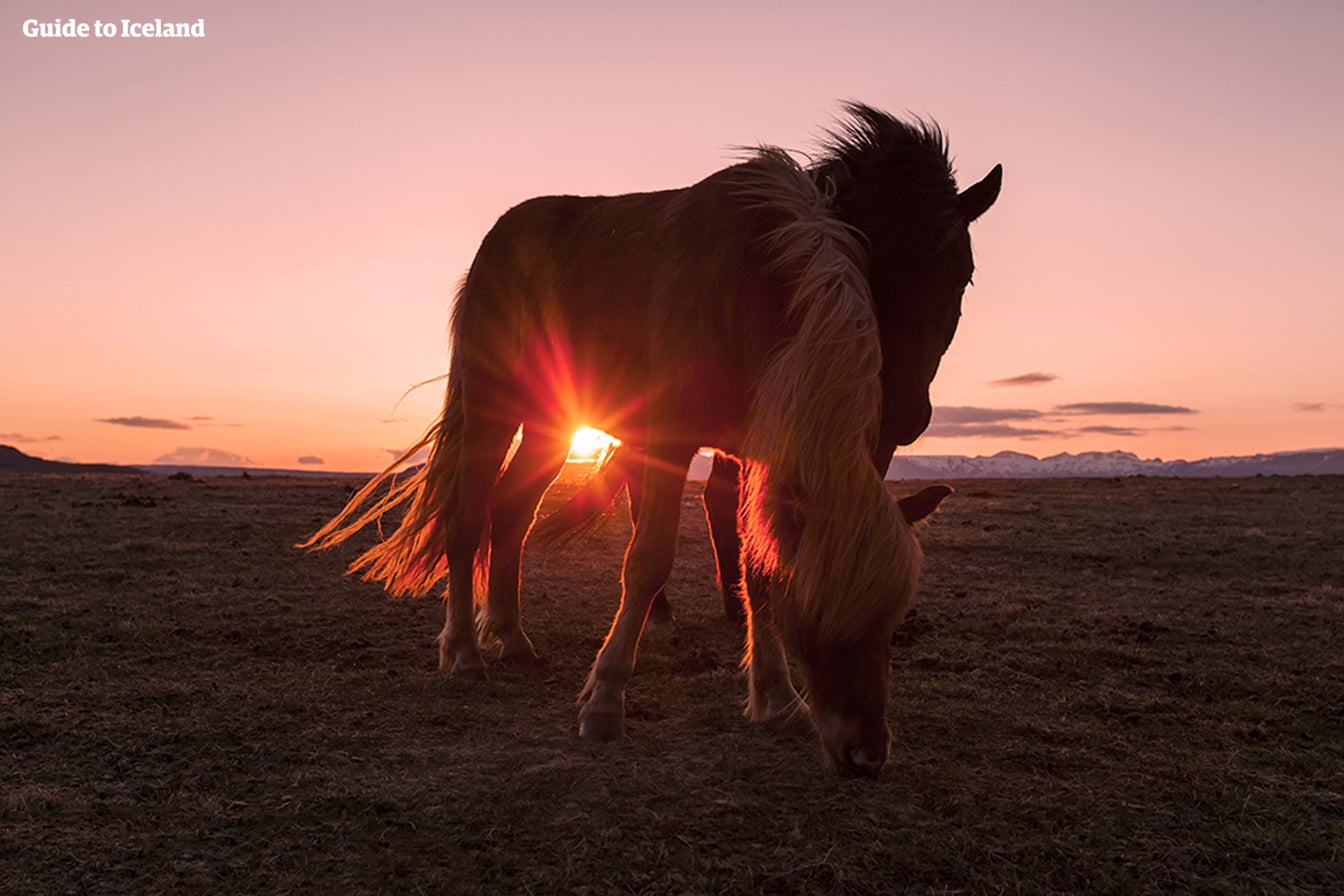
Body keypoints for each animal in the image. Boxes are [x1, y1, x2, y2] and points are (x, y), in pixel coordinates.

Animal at [303, 103, 1001, 776]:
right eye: (817, 618)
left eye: (963, 274)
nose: (867, 754)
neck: (753, 280)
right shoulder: (669, 440)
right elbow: (646, 561)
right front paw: (605, 699)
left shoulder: (752, 452)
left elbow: (756, 566)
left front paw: (776, 699)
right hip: (494, 402)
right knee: (469, 515)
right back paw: (464, 652)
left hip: (553, 421)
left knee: (512, 509)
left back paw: (511, 635)